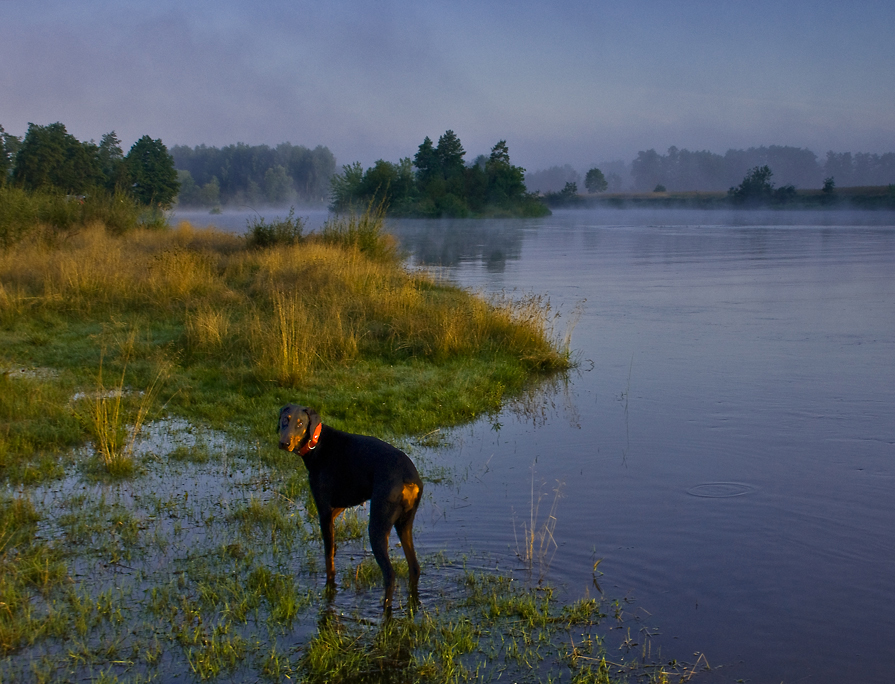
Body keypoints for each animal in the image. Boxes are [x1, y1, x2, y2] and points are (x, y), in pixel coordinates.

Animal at [278, 404, 422, 608]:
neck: (317, 443)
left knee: (390, 574)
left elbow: (328, 559)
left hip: (378, 525)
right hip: (404, 524)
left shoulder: (323, 507)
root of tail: (409, 478)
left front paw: (330, 587)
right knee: (414, 567)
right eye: (285, 419)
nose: (284, 443)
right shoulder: (343, 502)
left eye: (300, 423)